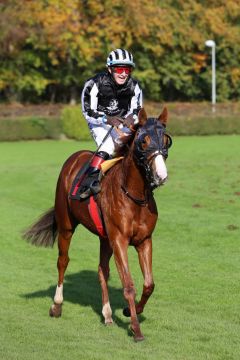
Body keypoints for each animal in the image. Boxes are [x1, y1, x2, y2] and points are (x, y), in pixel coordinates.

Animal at [23, 106, 172, 340]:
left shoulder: (144, 240)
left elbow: (149, 284)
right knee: (63, 261)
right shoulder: (119, 239)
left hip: (105, 238)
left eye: (166, 140)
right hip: (66, 225)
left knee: (103, 270)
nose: (161, 175)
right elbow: (128, 285)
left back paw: (108, 315)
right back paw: (57, 306)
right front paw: (136, 328)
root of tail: (75, 157)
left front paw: (129, 311)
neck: (134, 196)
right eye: (144, 140)